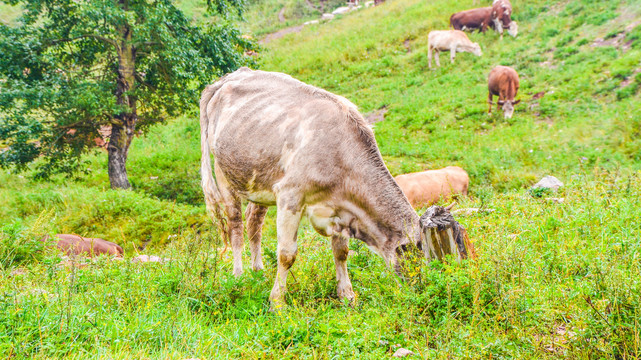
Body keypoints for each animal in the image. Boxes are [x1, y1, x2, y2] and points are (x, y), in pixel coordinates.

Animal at [200, 67, 430, 306]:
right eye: (417, 257)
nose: (420, 288)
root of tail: (232, 75)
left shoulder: (339, 206)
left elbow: (341, 251)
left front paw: (347, 295)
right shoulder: (290, 195)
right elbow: (286, 254)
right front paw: (277, 301)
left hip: (260, 179)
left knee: (254, 221)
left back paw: (258, 270)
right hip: (224, 173)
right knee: (235, 225)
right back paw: (239, 276)